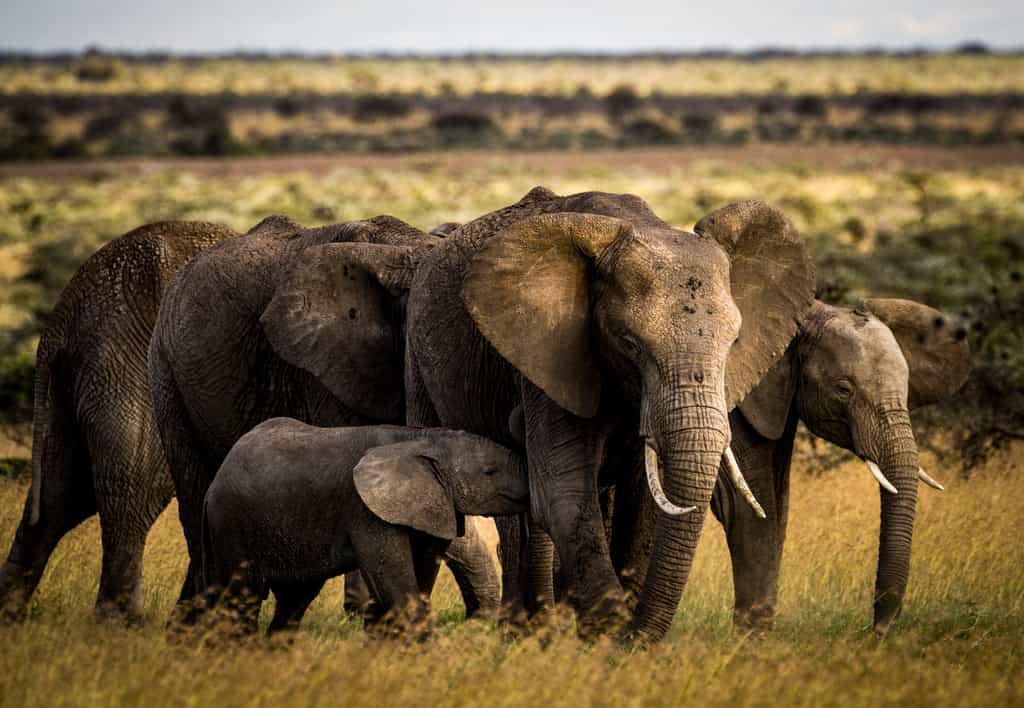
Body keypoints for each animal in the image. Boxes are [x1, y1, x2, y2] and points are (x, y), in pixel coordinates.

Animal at [0, 220, 237, 624]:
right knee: (133, 490)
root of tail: (61, 319)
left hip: (73, 385)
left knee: (59, 495)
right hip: (130, 367)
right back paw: (124, 624)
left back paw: (9, 615)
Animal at [148, 214, 500, 621]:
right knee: (195, 493)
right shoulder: (322, 367)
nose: (478, 619)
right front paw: (367, 612)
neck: (400, 252)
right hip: (167, 372)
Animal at [199, 418, 527, 636]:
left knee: (295, 599)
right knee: (244, 594)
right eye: (490, 471)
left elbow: (419, 579)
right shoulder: (364, 509)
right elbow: (397, 586)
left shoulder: (431, 504)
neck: (423, 438)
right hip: (230, 520)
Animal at [403, 186, 816, 642]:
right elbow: (563, 492)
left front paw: (614, 637)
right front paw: (607, 636)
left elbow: (646, 497)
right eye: (630, 343)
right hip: (418, 359)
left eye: (735, 342)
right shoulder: (550, 352)